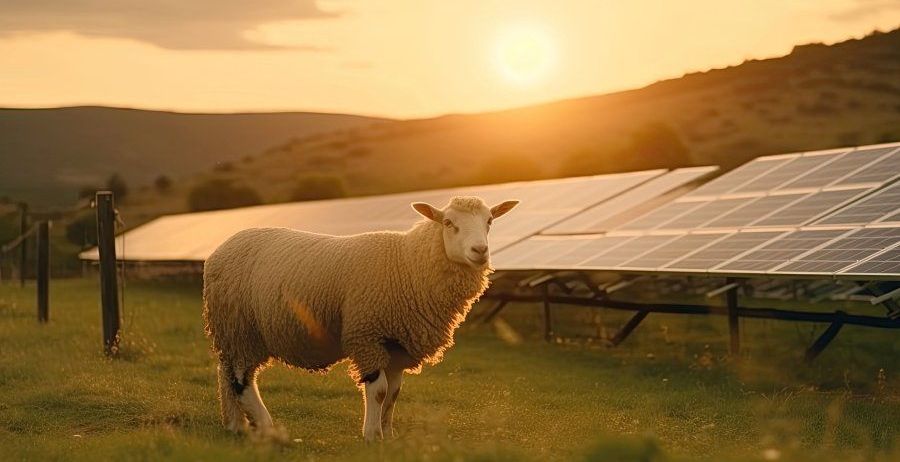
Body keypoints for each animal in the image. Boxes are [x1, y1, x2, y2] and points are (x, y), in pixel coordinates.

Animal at [202, 196, 519, 441]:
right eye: (449, 223)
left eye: (490, 221)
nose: (480, 251)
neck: (408, 265)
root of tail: (221, 249)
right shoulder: (367, 335)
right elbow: (378, 391)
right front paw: (371, 435)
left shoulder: (396, 345)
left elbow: (394, 393)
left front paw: (388, 435)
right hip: (240, 326)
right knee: (241, 380)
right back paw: (267, 427)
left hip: (230, 330)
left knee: (225, 372)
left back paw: (235, 425)